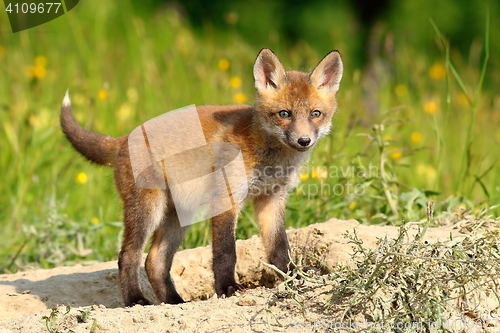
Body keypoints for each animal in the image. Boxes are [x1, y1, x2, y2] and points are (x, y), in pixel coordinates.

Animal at [60, 48, 342, 304]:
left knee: (154, 261)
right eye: (284, 114)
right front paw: (227, 288)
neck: (270, 157)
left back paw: (175, 302)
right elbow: (226, 251)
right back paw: (135, 300)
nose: (303, 141)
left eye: (315, 114)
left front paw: (293, 278)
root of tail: (124, 138)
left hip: (178, 216)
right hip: (148, 210)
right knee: (128, 256)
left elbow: (279, 247)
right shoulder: (227, 198)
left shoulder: (272, 198)